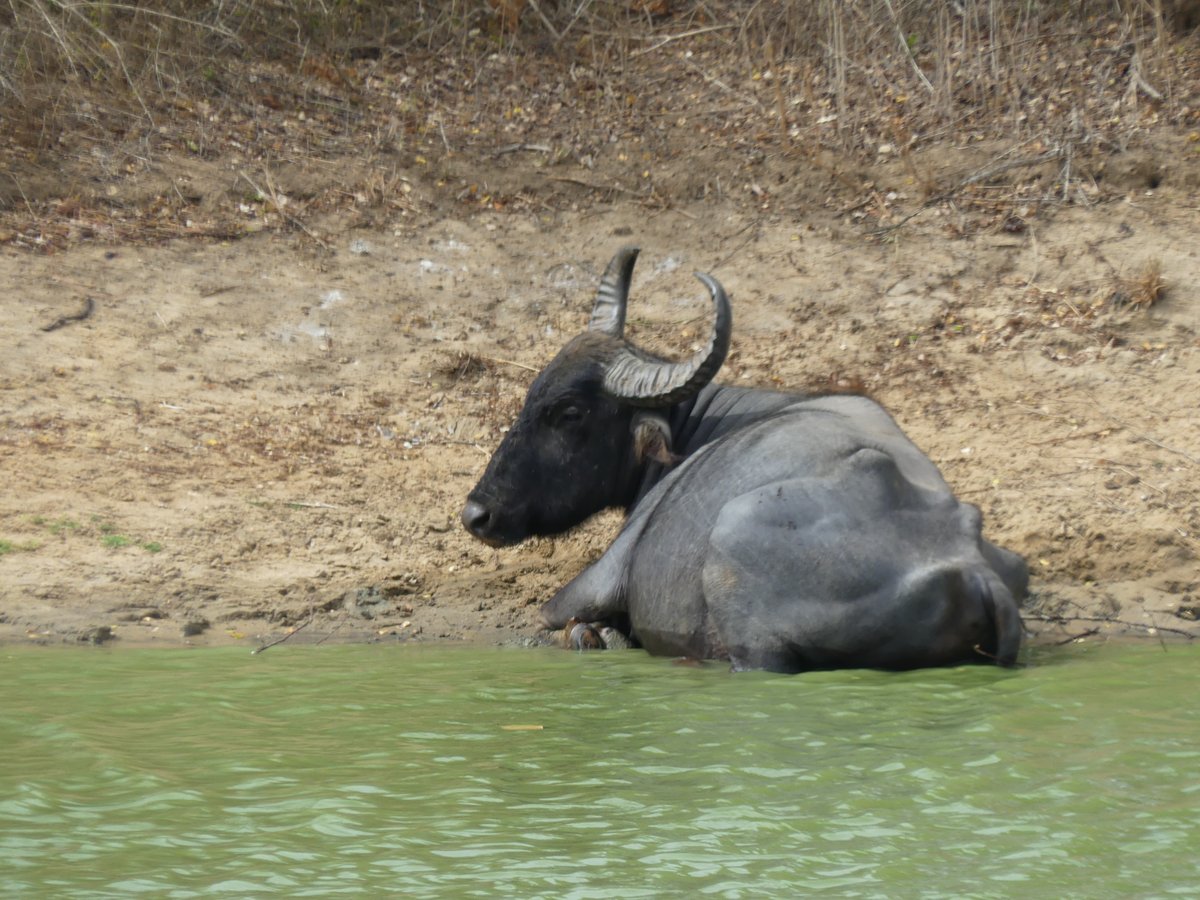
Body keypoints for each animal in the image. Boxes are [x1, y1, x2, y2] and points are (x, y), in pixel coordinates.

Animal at [462, 247, 1028, 672]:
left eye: (569, 413)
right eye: (532, 392)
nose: (476, 514)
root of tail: (972, 570)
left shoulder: (603, 573)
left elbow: (548, 615)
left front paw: (591, 633)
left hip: (748, 619)